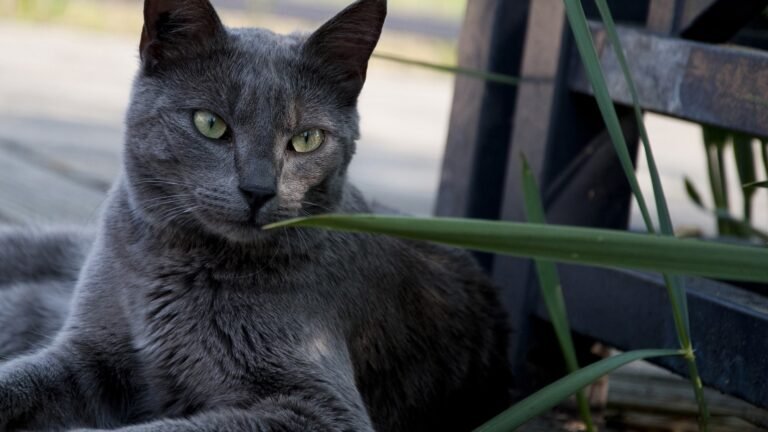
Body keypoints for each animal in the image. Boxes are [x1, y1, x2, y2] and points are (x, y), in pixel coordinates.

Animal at [0, 0, 512, 430]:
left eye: (306, 139)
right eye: (210, 124)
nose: (259, 190)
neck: (177, 267)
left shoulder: (320, 407)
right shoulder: (89, 352)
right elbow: (24, 378)